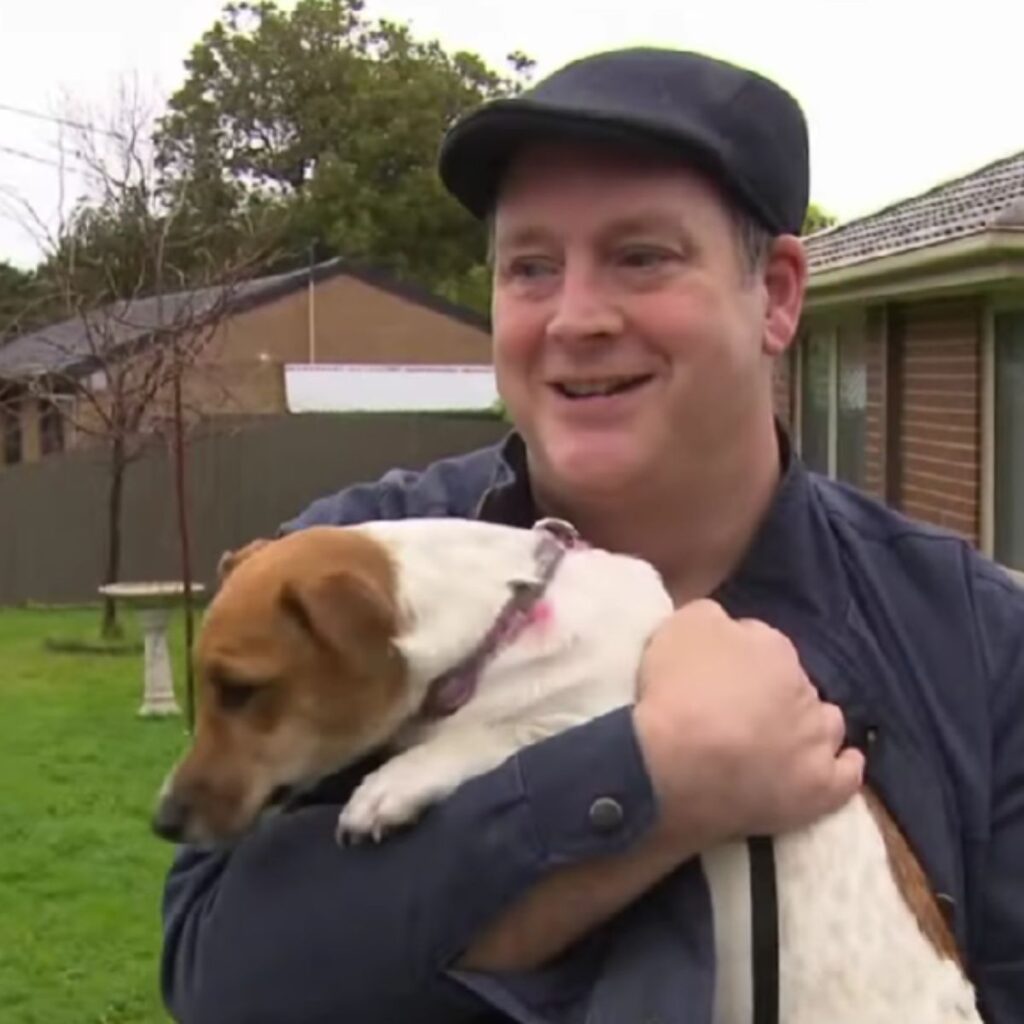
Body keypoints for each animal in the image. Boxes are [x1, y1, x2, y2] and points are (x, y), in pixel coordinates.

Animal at [153, 520, 983, 1024]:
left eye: (241, 689)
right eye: (204, 685)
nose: (164, 819)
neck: (500, 628)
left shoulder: (600, 708)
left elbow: (496, 735)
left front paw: (388, 789)